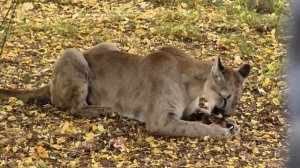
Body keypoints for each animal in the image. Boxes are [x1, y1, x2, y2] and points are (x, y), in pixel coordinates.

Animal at [0, 43, 251, 139]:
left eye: (237, 100)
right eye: (226, 97)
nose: (228, 113)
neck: (194, 86)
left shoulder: (188, 111)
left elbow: (203, 115)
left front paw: (230, 124)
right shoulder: (161, 120)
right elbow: (196, 127)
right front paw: (222, 131)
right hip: (73, 55)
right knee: (74, 107)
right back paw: (104, 109)